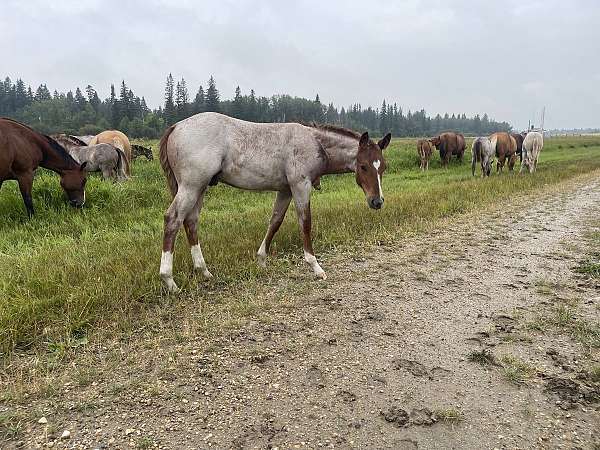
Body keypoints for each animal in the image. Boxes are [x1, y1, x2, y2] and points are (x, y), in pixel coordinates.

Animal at [157, 112, 392, 292]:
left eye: (382, 166)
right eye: (363, 166)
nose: (377, 201)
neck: (315, 143)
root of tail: (176, 126)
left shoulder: (285, 190)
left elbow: (275, 222)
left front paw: (262, 260)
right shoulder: (300, 185)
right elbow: (305, 222)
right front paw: (315, 266)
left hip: (200, 188)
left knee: (190, 221)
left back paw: (204, 271)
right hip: (191, 186)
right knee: (173, 219)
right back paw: (169, 281)